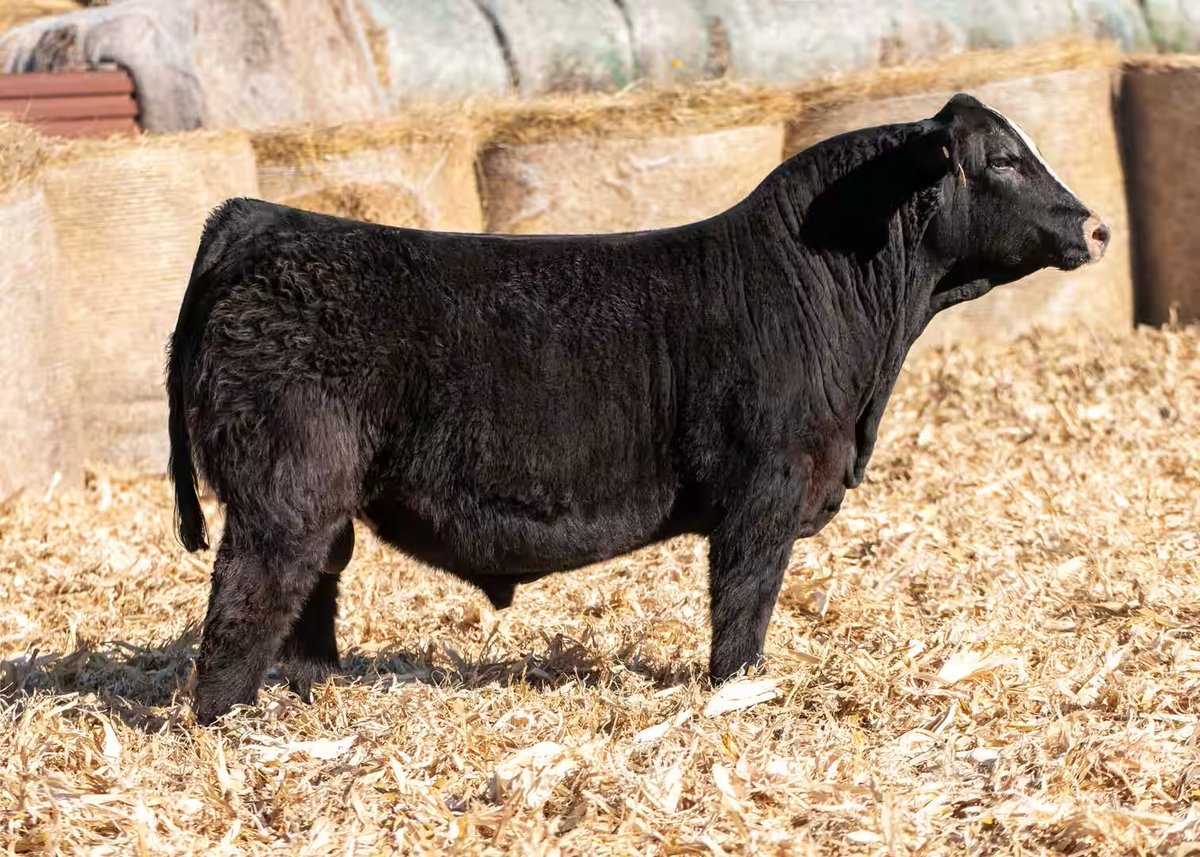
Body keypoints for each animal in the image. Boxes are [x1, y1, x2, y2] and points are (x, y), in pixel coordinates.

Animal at [167, 94, 1109, 724]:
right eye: (1004, 160)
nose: (1096, 227)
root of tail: (259, 219)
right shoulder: (764, 492)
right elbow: (742, 609)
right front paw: (739, 695)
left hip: (320, 504)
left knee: (307, 598)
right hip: (283, 494)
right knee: (246, 603)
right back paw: (230, 722)